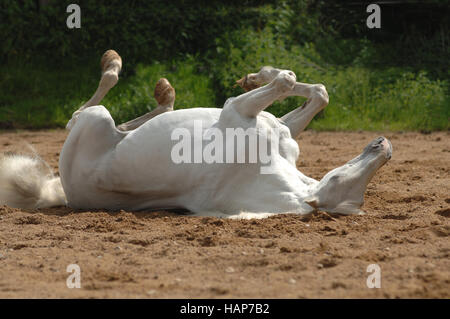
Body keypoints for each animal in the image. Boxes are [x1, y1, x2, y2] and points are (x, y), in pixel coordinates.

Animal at [0, 50, 390, 220]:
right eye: (337, 176)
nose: (384, 147)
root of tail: (66, 191)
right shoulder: (274, 126)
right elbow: (314, 90)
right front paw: (255, 75)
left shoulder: (237, 111)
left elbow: (291, 81)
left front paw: (259, 75)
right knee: (123, 122)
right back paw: (162, 91)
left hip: (95, 120)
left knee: (84, 113)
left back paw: (121, 67)